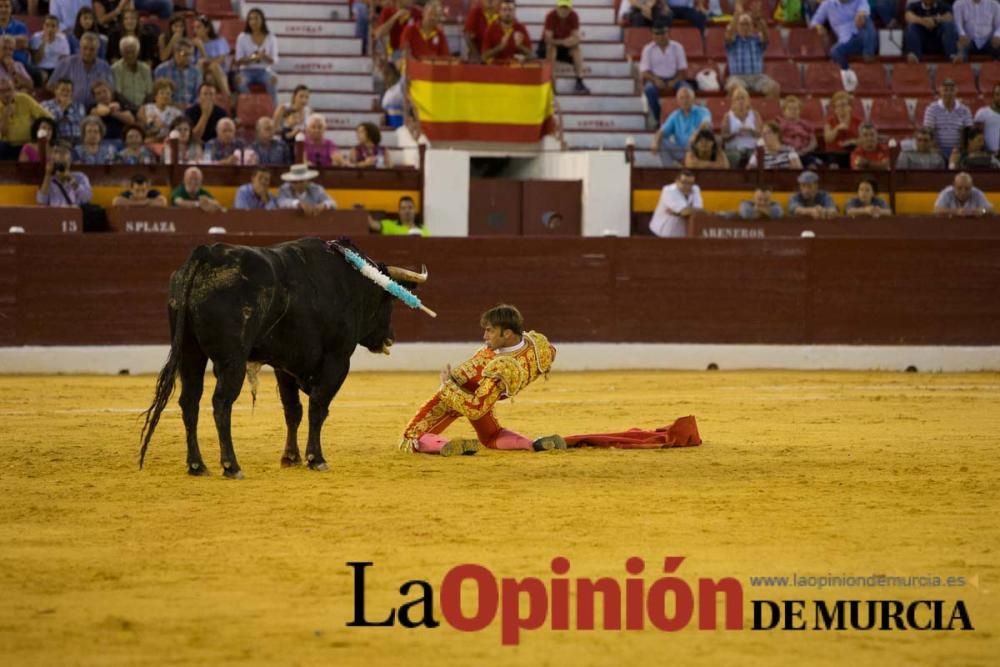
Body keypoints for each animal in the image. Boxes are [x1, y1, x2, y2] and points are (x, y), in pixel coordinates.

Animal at [139, 237, 424, 478]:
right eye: (388, 299)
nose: (390, 337)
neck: (350, 282)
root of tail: (206, 254)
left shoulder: (285, 365)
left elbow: (292, 410)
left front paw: (291, 457)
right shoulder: (338, 359)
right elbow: (318, 407)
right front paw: (315, 458)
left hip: (190, 353)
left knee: (189, 402)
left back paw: (197, 465)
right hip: (233, 360)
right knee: (221, 403)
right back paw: (231, 466)